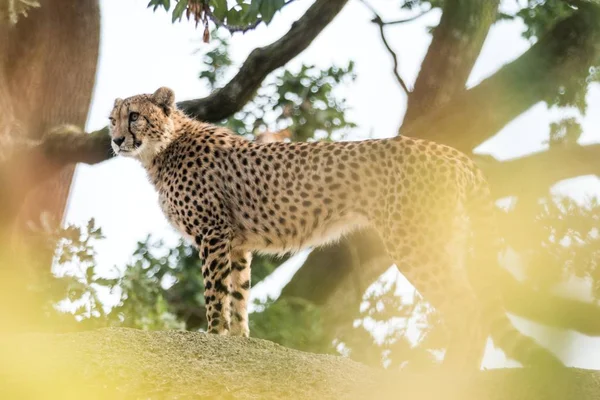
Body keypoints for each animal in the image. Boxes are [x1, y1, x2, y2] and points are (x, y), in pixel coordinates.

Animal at [109, 87, 564, 368]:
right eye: (112, 119)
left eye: (135, 117)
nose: (114, 141)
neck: (164, 147)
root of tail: (451, 152)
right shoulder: (237, 243)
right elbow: (239, 297)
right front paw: (239, 343)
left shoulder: (214, 235)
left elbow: (214, 297)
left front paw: (213, 339)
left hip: (416, 244)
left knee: (468, 309)